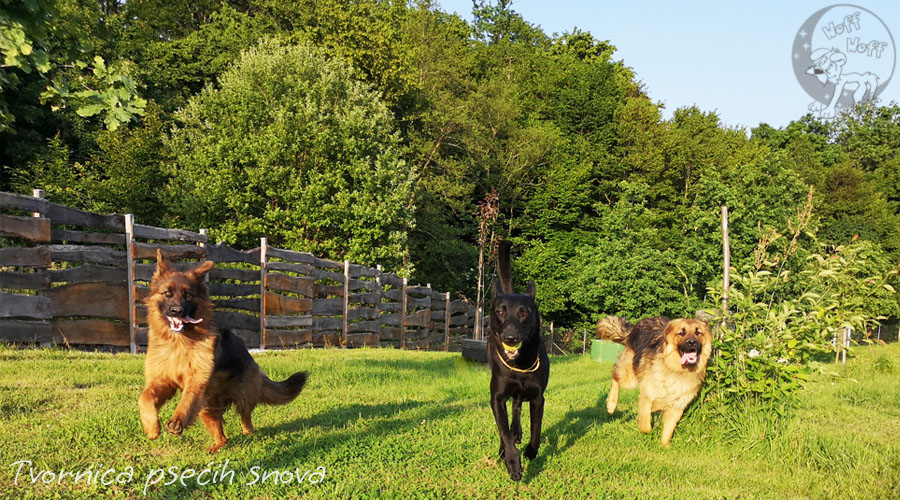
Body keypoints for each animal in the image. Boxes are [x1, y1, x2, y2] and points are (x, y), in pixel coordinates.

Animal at [486, 240, 548, 482]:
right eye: (500, 311)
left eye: (524, 312)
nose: (510, 338)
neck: (519, 365)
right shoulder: (497, 398)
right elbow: (503, 431)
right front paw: (512, 461)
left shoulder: (538, 398)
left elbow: (536, 432)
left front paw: (530, 452)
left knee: (518, 406)